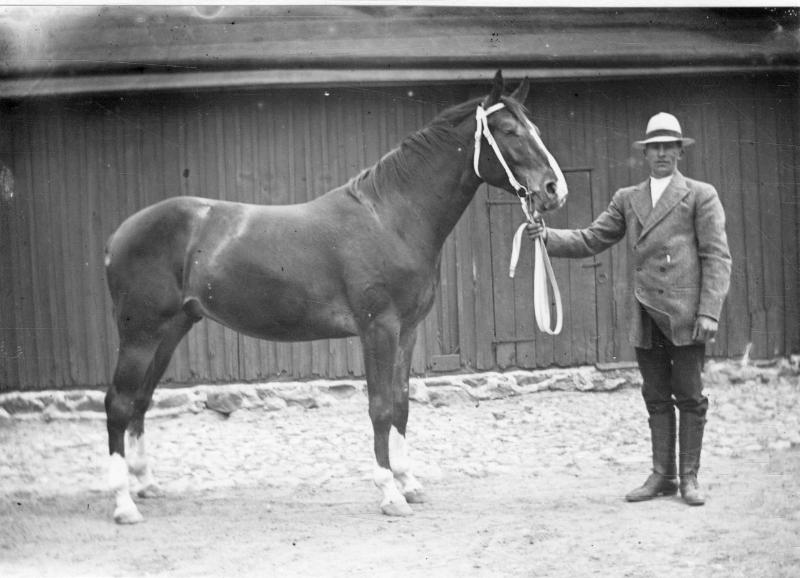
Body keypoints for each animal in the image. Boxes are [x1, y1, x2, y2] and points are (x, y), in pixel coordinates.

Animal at [103, 71, 568, 520]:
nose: (554, 190)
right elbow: (380, 406)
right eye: (508, 130)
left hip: (172, 329)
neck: (390, 219)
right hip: (140, 334)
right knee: (118, 403)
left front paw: (409, 483)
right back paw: (123, 504)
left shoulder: (408, 331)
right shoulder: (378, 328)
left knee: (140, 401)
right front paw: (389, 493)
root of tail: (119, 234)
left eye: (536, 128)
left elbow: (401, 403)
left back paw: (145, 484)